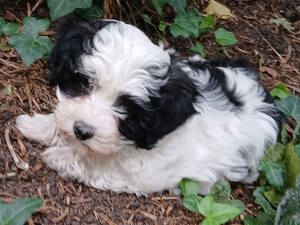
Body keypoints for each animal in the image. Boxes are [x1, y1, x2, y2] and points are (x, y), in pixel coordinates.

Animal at [15, 19, 284, 194]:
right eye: (83, 83)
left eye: (126, 108)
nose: (82, 130)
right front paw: (38, 125)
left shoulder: (145, 172)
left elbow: (102, 166)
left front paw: (61, 156)